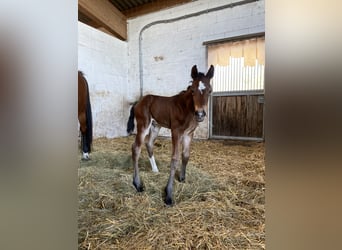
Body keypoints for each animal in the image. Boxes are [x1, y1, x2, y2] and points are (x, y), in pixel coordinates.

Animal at [127, 65, 215, 205]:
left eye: (210, 91)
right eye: (192, 91)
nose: (200, 114)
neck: (187, 108)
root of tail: (138, 101)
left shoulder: (189, 134)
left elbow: (186, 155)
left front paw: (182, 178)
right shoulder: (176, 132)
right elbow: (175, 159)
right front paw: (168, 194)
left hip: (155, 126)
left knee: (149, 143)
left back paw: (155, 170)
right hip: (143, 124)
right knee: (136, 148)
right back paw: (138, 184)